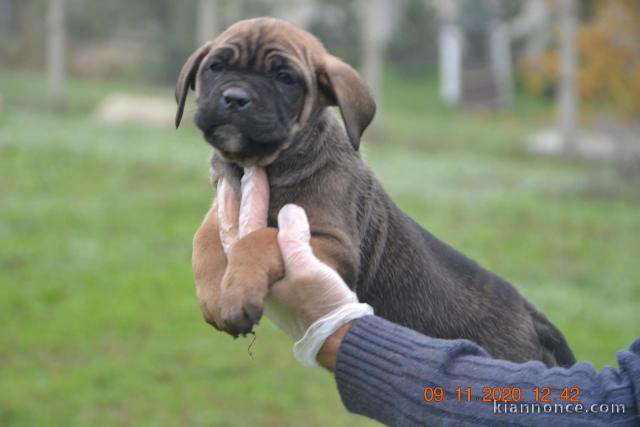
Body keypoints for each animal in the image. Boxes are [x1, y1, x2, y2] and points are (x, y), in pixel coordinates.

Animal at [178, 17, 576, 368]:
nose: (235, 98)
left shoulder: (333, 244)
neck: (264, 164)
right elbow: (204, 237)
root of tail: (530, 315)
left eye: (284, 78)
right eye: (215, 67)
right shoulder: (226, 200)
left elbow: (259, 239)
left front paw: (237, 293)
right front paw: (214, 292)